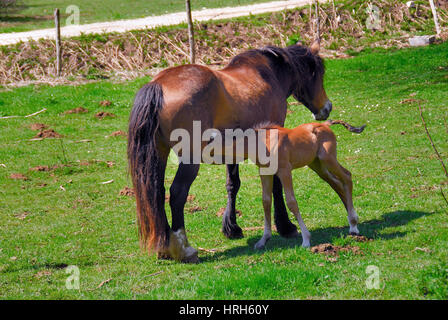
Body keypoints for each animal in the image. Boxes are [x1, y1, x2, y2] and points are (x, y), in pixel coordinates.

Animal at [128, 40, 330, 262]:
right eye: (319, 73)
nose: (327, 108)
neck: (269, 75)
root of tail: (158, 85)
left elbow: (233, 184)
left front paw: (231, 227)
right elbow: (276, 185)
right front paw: (286, 226)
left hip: (159, 154)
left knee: (157, 193)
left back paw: (165, 247)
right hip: (190, 159)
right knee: (177, 194)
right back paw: (184, 249)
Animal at [250, 120, 366, 250]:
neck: (266, 141)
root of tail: (325, 124)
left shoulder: (285, 170)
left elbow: (291, 202)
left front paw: (306, 240)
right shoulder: (265, 173)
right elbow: (266, 201)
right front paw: (263, 240)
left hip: (327, 159)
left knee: (347, 176)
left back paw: (353, 226)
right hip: (317, 165)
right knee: (337, 183)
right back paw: (352, 221)